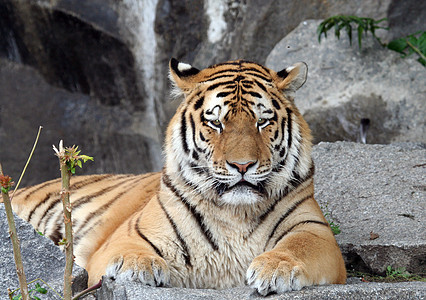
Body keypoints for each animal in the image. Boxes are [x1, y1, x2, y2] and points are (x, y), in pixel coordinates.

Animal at [8, 58, 346, 296]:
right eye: (216, 123)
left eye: (262, 122)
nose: (242, 166)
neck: (236, 213)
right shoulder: (129, 235)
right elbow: (129, 249)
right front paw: (138, 266)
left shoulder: (316, 232)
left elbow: (299, 245)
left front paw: (276, 268)